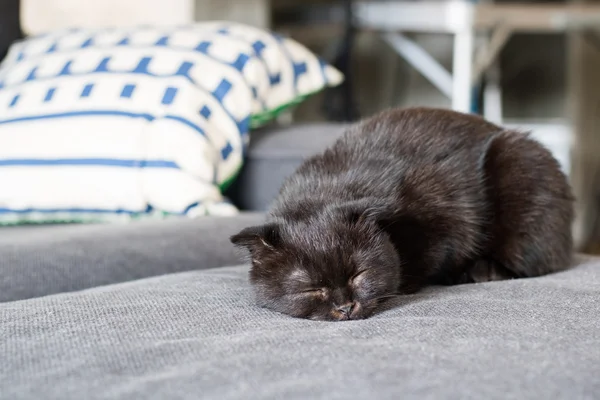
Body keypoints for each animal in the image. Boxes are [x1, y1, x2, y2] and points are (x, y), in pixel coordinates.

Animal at [231, 107, 576, 322]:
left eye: (359, 274)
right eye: (311, 289)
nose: (345, 307)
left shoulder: (445, 208)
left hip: (518, 163)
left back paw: (478, 271)